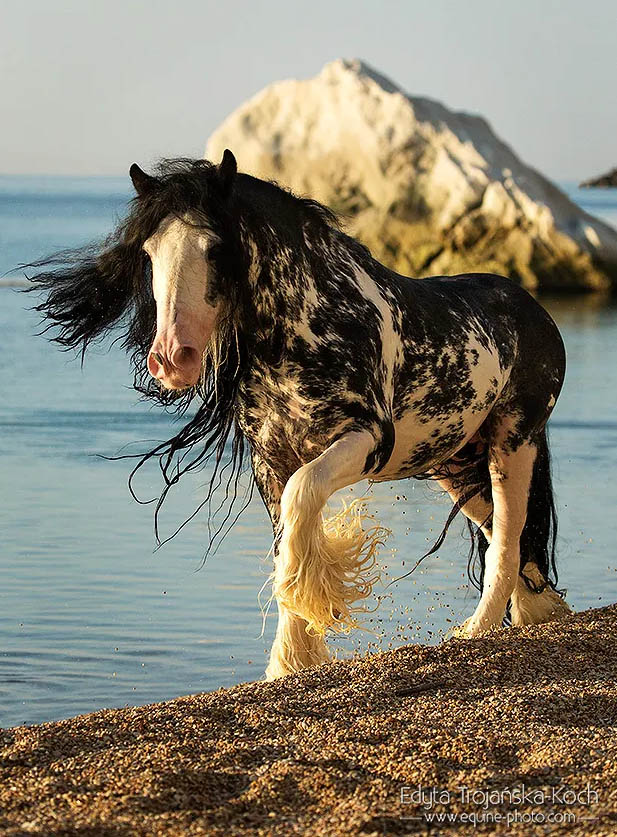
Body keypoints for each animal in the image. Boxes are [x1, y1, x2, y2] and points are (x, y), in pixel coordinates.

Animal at [30, 152, 572, 680]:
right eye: (148, 253)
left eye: (214, 248)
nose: (171, 359)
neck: (305, 328)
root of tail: (533, 308)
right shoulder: (270, 460)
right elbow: (284, 538)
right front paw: (289, 660)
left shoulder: (364, 440)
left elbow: (302, 498)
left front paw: (315, 609)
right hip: (453, 463)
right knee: (506, 534)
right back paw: (541, 615)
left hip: (512, 443)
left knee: (508, 537)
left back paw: (478, 630)